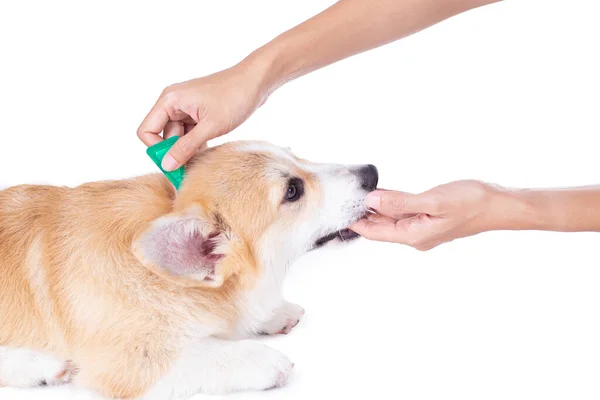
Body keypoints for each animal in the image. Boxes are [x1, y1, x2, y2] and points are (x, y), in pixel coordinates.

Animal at [0, 141, 378, 400]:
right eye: (292, 191)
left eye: (295, 154)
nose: (372, 173)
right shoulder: (127, 363)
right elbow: (203, 354)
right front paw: (261, 360)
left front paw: (272, 313)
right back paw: (41, 365)